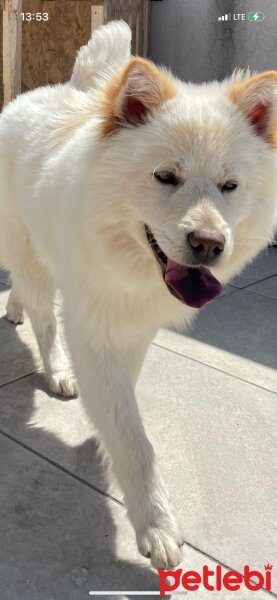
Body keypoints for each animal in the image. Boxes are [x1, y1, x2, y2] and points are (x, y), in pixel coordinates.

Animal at [0, 22, 276, 568]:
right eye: (165, 177)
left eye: (229, 186)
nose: (209, 244)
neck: (131, 265)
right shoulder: (95, 331)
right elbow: (133, 436)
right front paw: (157, 525)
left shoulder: (136, 329)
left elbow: (121, 405)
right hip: (27, 250)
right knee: (43, 314)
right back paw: (55, 368)